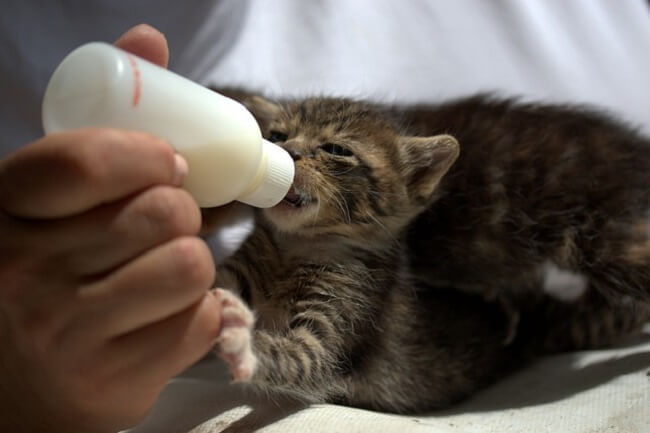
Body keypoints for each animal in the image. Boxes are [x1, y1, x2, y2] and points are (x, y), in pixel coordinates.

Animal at [204, 93, 648, 412]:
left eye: (336, 149)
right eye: (277, 136)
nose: (288, 152)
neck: (296, 246)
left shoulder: (336, 327)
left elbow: (299, 357)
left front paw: (243, 343)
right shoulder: (248, 262)